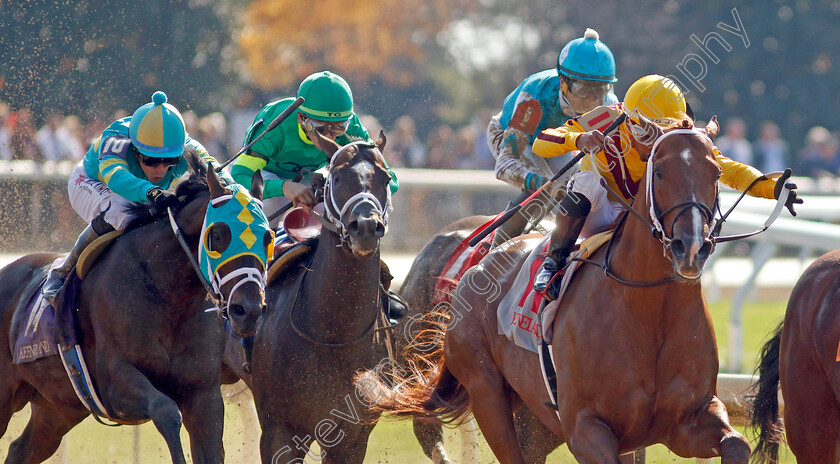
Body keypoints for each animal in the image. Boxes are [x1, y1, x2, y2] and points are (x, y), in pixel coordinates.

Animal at [0, 156, 270, 464]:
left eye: (268, 237)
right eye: (217, 235)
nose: (248, 310)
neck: (168, 296)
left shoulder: (203, 393)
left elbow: (210, 448)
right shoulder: (113, 384)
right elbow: (166, 412)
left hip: (58, 407)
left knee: (20, 449)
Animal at [221, 133, 396, 460]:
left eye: (386, 178)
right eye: (337, 177)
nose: (366, 226)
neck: (334, 334)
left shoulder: (352, 436)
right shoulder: (280, 432)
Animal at [364, 115, 752, 460]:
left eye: (716, 173)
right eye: (660, 171)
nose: (692, 247)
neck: (649, 311)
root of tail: (477, 269)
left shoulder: (684, 421)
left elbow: (738, 444)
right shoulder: (585, 428)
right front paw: (588, 139)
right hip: (486, 391)